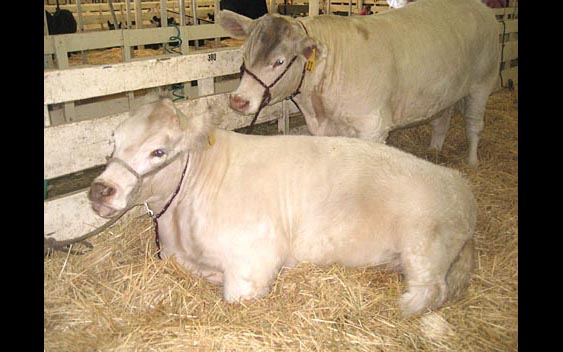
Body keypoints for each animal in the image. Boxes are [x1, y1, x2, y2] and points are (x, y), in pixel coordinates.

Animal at [90, 99, 478, 316]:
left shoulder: (252, 263)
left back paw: (403, 309)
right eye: (113, 141)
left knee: (432, 289)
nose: (99, 190)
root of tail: (457, 182)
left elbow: (235, 296)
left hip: (424, 246)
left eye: (159, 151)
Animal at [218, 0, 500, 166]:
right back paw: (434, 150)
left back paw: (472, 162)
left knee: (474, 125)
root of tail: (482, 9)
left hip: (482, 83)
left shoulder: (374, 128)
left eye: (279, 61)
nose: (239, 100)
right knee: (441, 120)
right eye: (244, 55)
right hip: (445, 91)